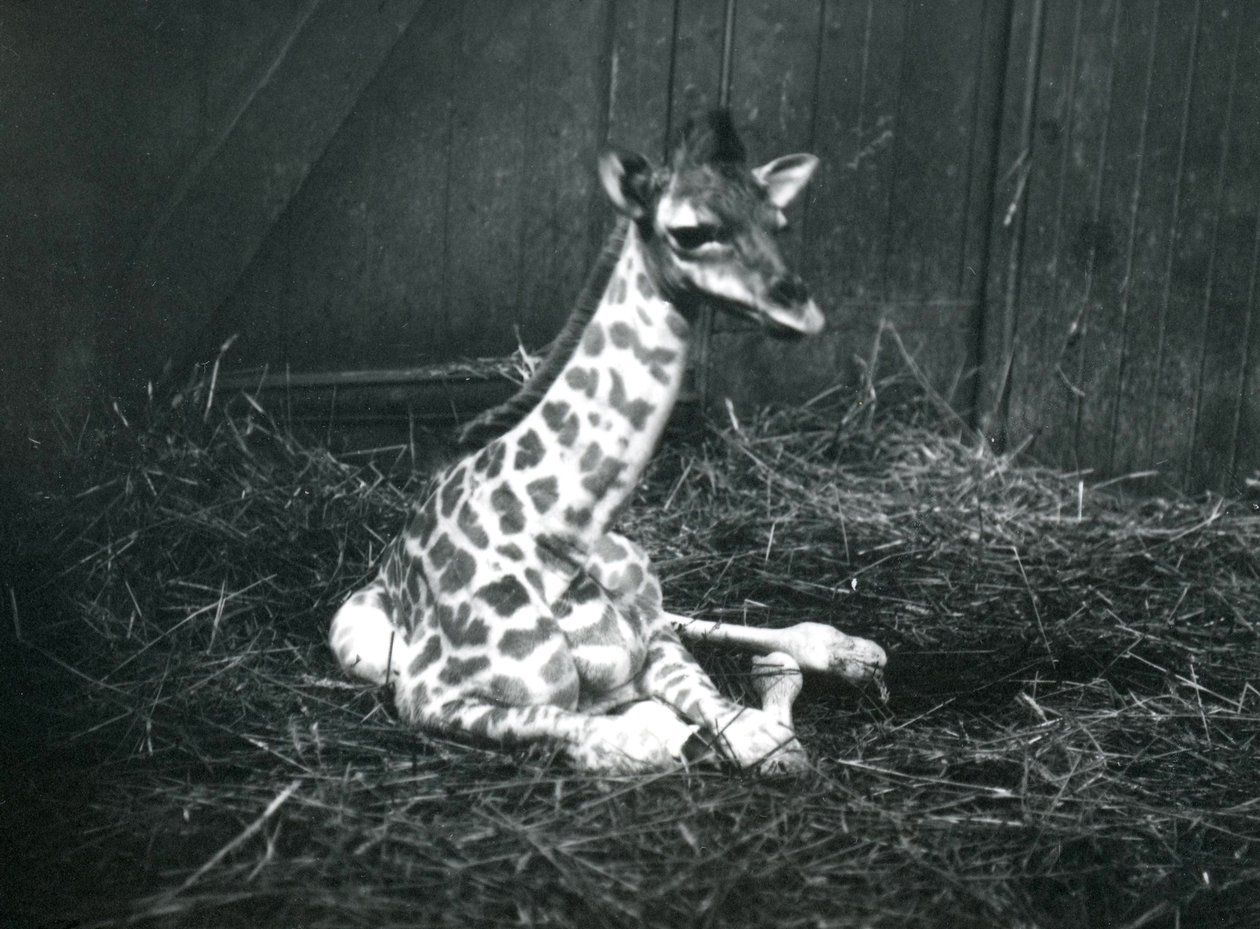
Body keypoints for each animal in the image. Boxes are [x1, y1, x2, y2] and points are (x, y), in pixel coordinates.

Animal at [330, 110, 831, 776]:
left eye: (778, 224)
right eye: (691, 231)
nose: (799, 308)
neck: (553, 542)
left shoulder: (651, 646)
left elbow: (733, 717)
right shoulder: (428, 694)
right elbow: (627, 736)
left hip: (638, 568)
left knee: (686, 618)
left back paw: (852, 649)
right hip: (363, 647)